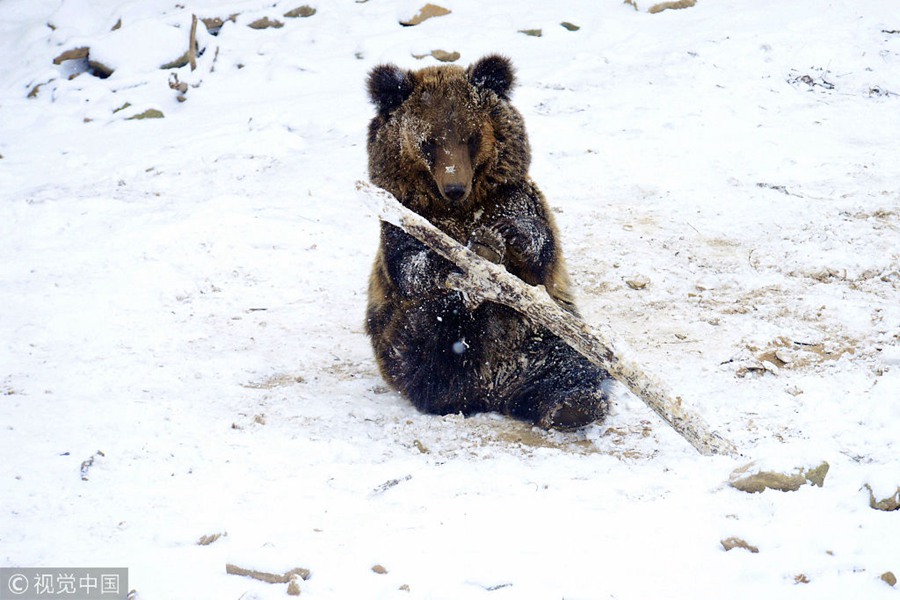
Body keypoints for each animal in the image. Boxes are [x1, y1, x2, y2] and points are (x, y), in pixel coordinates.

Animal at [366, 56, 612, 428]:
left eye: (470, 137)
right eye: (429, 142)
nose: (455, 186)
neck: (461, 211)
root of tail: (494, 386)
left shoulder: (514, 197)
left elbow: (541, 249)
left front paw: (508, 234)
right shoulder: (399, 217)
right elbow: (411, 265)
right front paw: (459, 256)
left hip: (540, 337)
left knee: (570, 362)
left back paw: (573, 405)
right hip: (397, 344)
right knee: (425, 340)